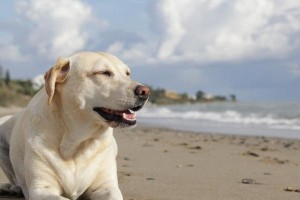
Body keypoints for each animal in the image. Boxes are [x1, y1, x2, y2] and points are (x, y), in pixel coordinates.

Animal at [0, 52, 150, 200]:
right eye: (103, 73)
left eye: (127, 73)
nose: (145, 91)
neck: (76, 144)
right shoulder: (41, 188)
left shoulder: (105, 186)